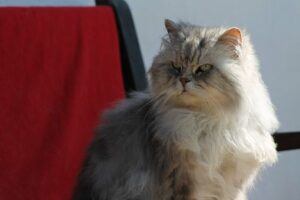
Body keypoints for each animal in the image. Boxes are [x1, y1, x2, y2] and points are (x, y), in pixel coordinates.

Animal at [72, 19, 278, 200]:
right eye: (176, 67)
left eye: (204, 68)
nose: (184, 80)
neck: (207, 121)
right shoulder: (183, 178)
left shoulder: (232, 185)